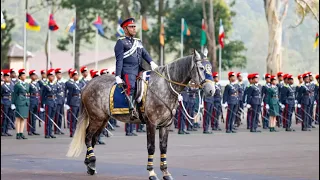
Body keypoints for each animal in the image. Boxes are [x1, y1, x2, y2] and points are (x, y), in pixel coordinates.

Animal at [65, 50, 215, 180]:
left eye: (210, 68)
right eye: (201, 68)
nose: (211, 90)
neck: (164, 87)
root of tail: (88, 84)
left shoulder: (165, 125)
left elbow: (163, 147)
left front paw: (166, 173)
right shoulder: (151, 124)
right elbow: (151, 147)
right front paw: (152, 173)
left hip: (103, 120)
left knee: (93, 138)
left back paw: (90, 165)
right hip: (96, 118)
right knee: (88, 136)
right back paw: (91, 160)